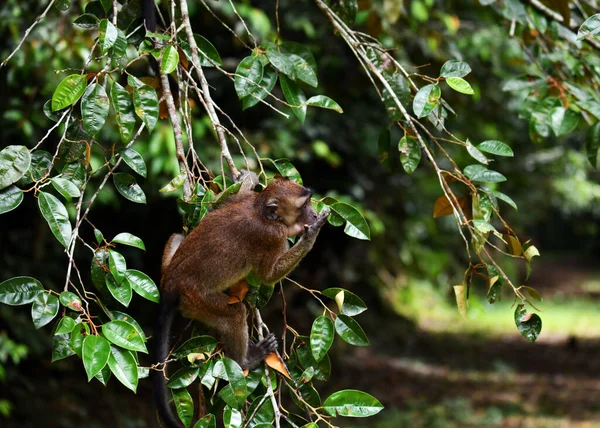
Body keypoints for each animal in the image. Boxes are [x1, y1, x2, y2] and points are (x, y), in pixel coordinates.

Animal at [150, 172, 328, 426]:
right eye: (303, 206)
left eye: (309, 202)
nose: (313, 214)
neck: (260, 211)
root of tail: (171, 284)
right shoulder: (272, 236)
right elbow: (267, 276)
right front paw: (311, 233)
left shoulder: (243, 200)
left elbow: (218, 204)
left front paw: (246, 178)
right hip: (195, 300)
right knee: (235, 314)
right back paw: (246, 360)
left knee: (178, 234)